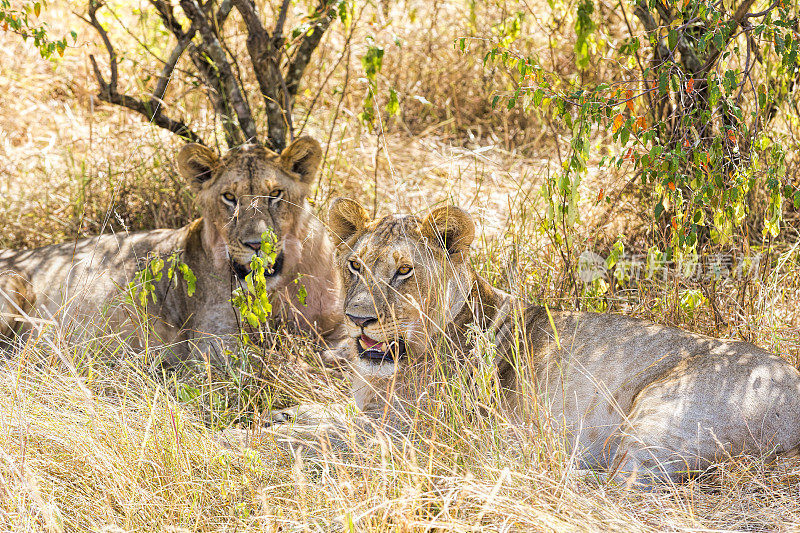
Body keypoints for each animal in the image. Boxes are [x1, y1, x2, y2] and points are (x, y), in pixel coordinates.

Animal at [0, 137, 344, 366]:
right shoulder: (211, 346)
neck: (279, 289)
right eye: (229, 197)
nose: (256, 244)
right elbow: (272, 358)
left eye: (275, 194)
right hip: (13, 284)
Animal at [278, 200, 800, 486]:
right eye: (355, 265)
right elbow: (325, 416)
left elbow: (322, 437)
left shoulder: (409, 432)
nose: (358, 319)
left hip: (662, 413)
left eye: (404, 270)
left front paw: (264, 437)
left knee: (624, 485)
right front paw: (289, 414)